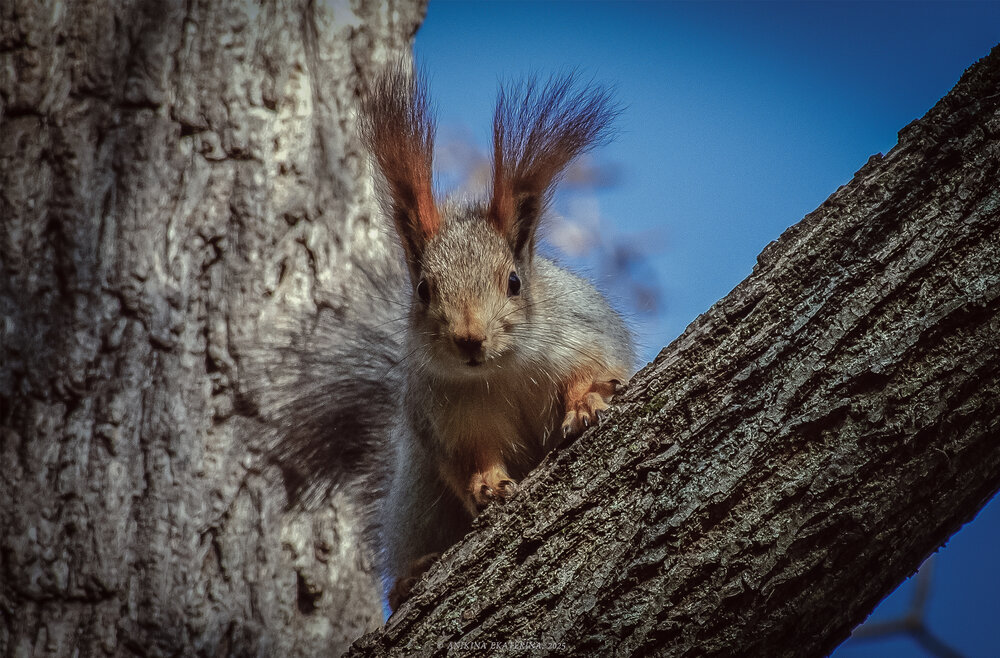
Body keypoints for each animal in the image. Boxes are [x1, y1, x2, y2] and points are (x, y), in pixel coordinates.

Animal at [264, 63, 635, 612]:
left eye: (514, 282)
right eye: (422, 290)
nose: (469, 339)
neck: (502, 372)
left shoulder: (582, 330)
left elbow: (595, 368)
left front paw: (586, 399)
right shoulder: (447, 420)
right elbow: (468, 460)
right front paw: (487, 486)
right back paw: (410, 575)